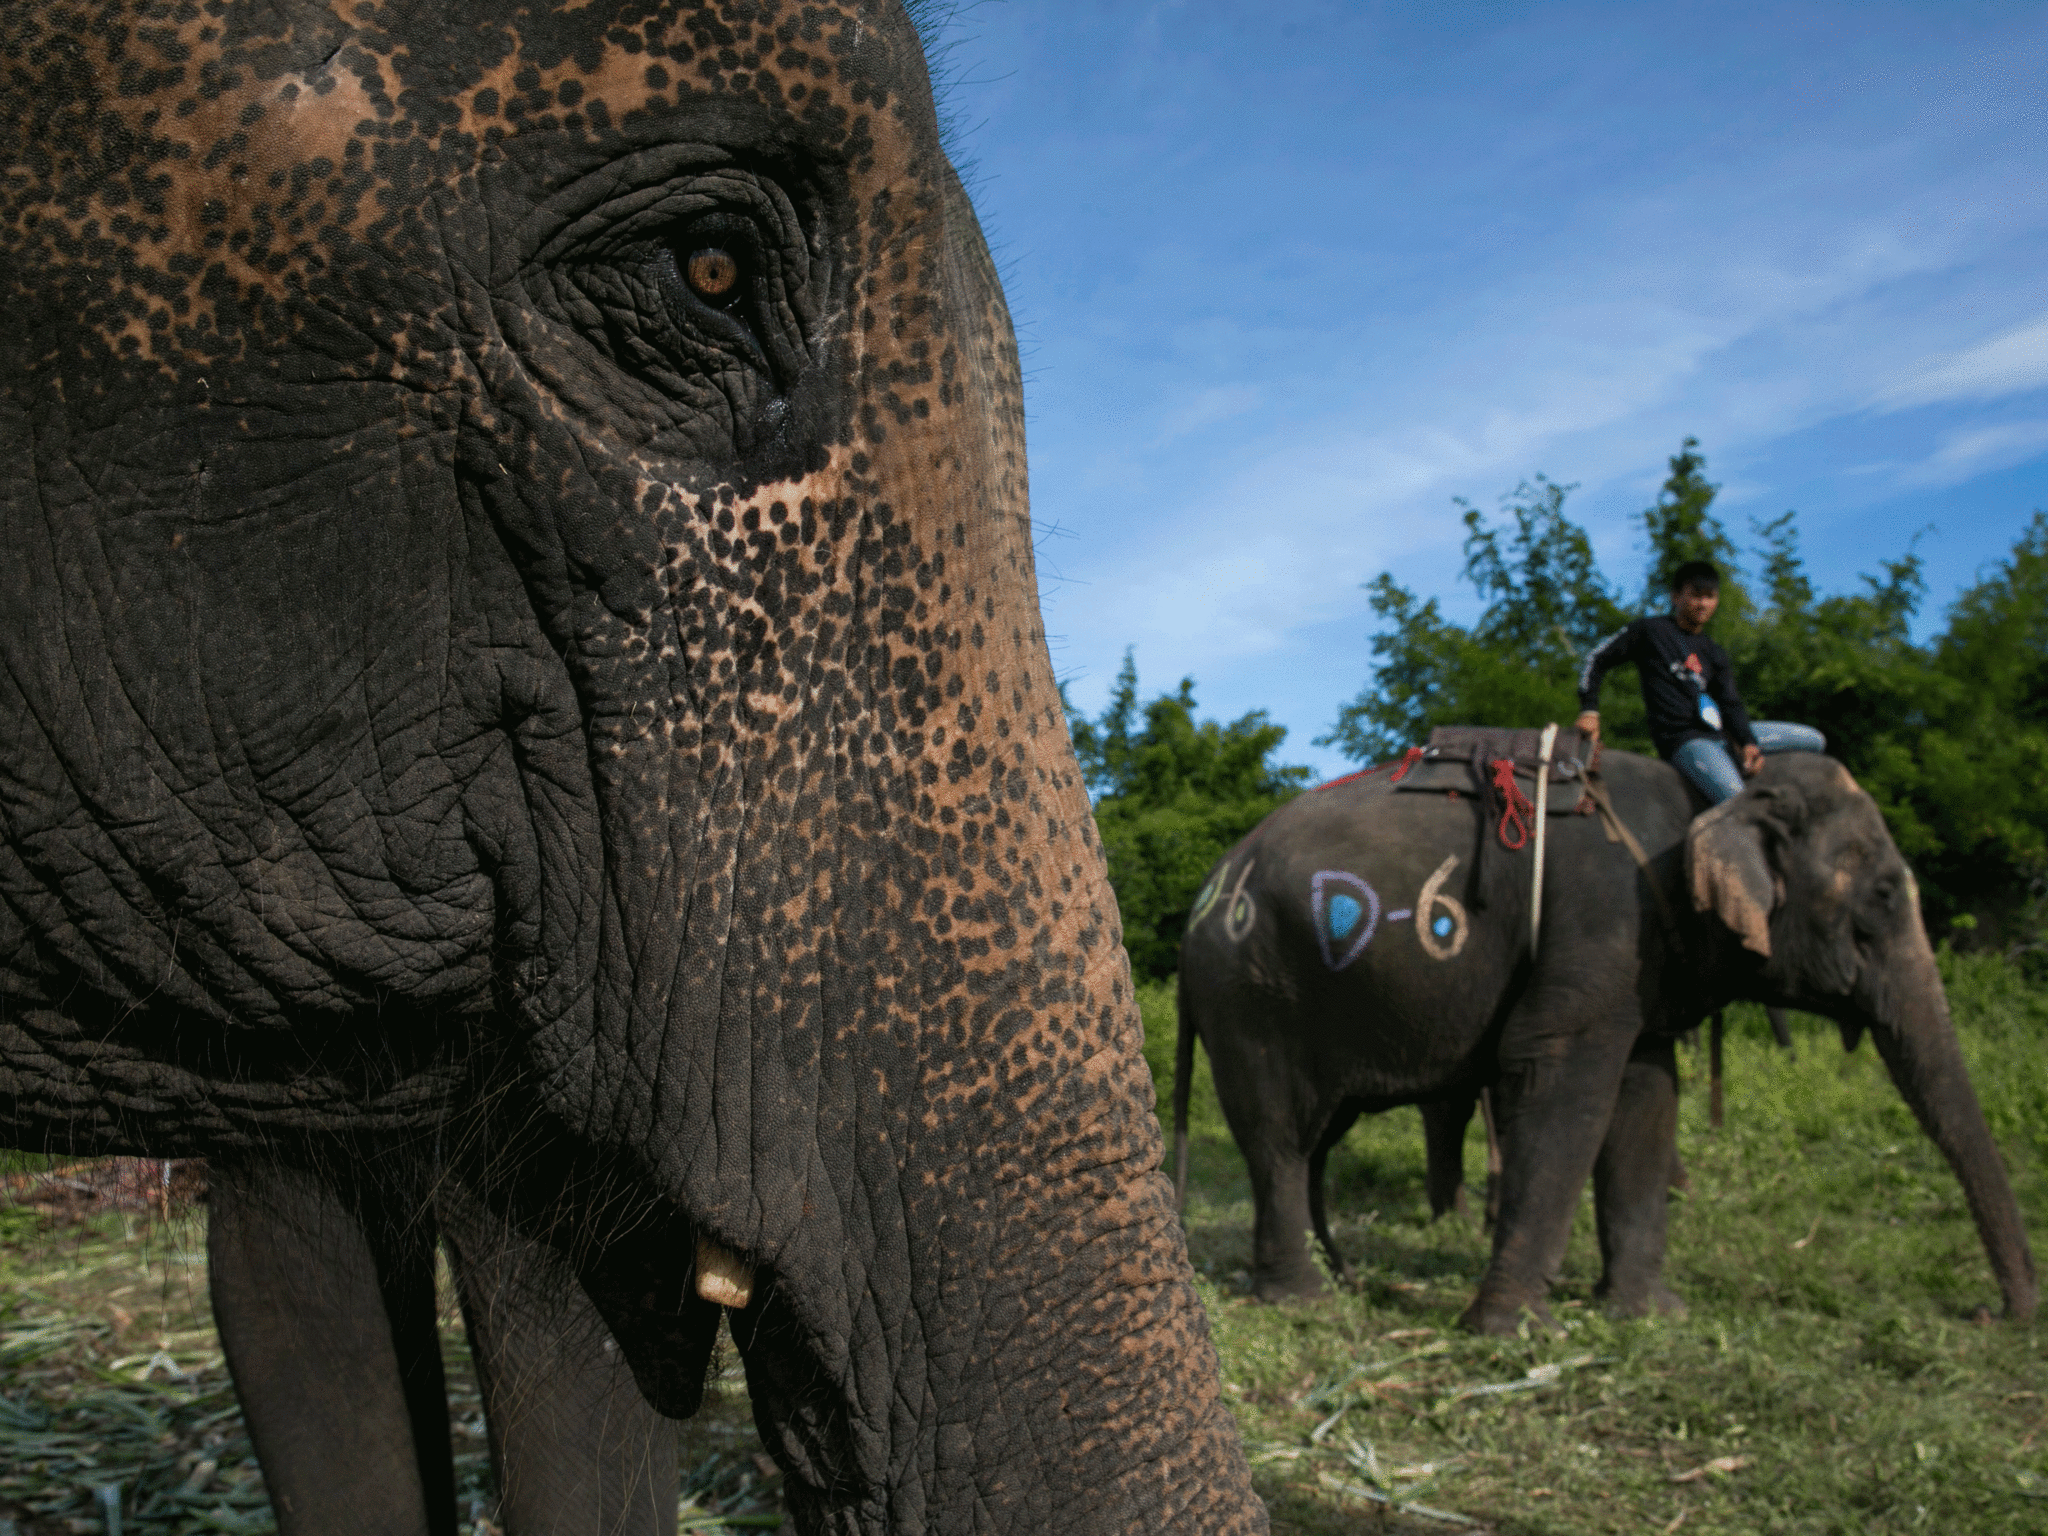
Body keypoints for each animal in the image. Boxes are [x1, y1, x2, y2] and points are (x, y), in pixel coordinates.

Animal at [1179, 745, 2039, 1335]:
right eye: (1884, 897)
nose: (1995, 1316)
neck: (1715, 801)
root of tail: (1207, 892)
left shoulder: (1643, 956)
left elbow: (1647, 1095)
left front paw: (1652, 1313)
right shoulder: (1605, 920)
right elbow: (1561, 1076)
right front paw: (1515, 1332)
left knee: (1318, 1142)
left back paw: (1345, 1278)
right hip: (1256, 998)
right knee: (1280, 1140)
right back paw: (1307, 1302)